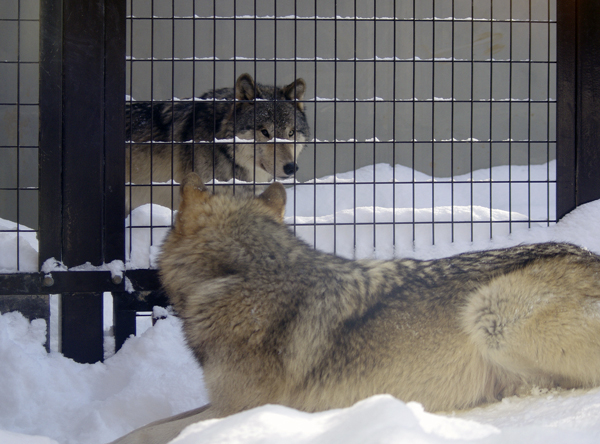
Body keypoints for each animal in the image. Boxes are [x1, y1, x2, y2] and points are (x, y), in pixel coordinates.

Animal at [111, 172, 600, 442]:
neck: (243, 275)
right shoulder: (220, 403)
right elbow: (145, 427)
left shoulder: (237, 410)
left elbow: (148, 432)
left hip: (490, 312)